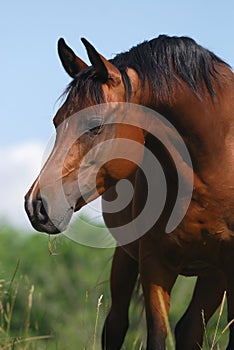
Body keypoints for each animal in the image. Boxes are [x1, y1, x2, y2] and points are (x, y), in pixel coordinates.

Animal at [24, 33, 234, 350]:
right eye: (57, 121)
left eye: (95, 124)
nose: (37, 205)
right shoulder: (154, 264)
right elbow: (157, 336)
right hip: (127, 257)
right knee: (118, 325)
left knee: (190, 330)